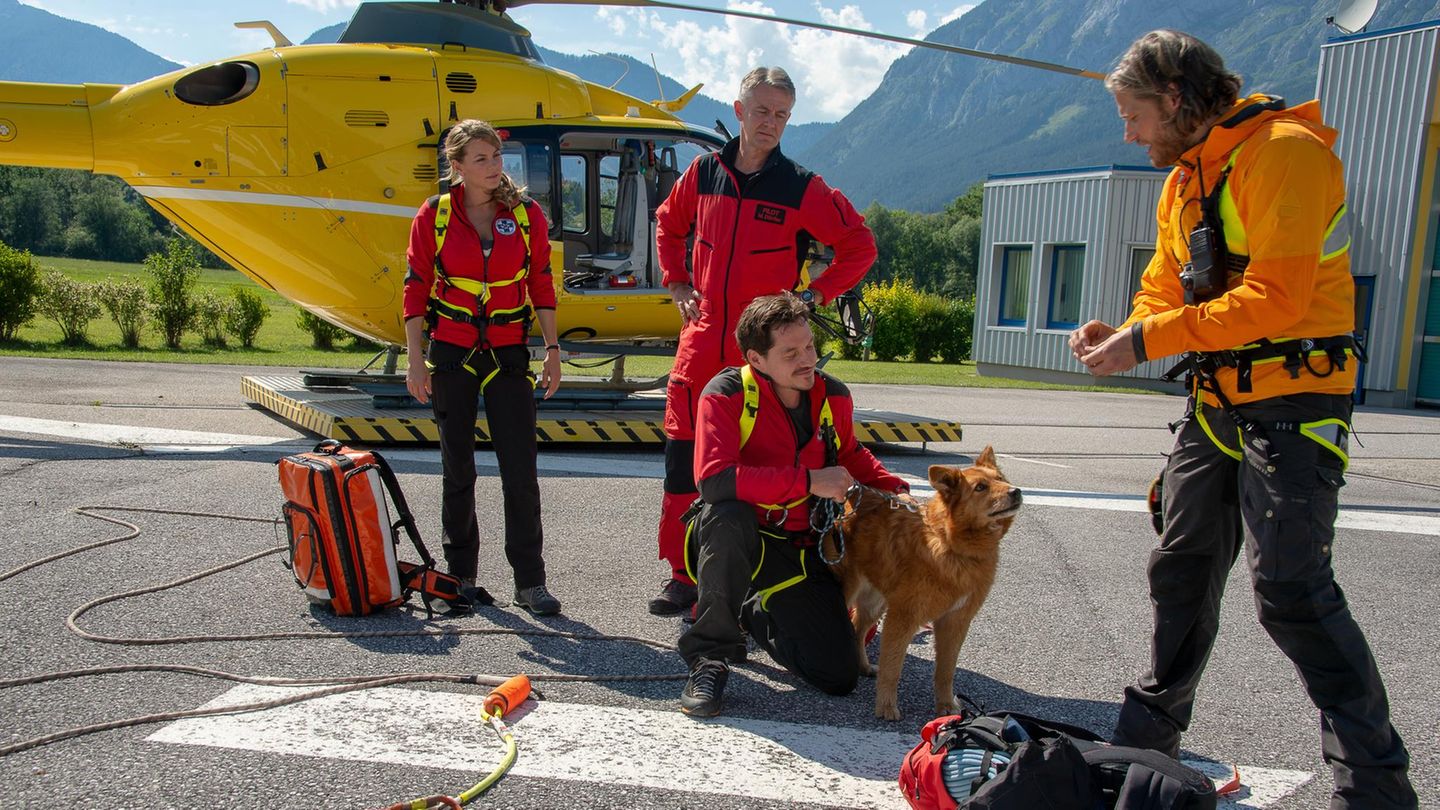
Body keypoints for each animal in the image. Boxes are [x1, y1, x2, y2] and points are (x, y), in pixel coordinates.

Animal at [829, 446, 1019, 717]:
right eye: (980, 487)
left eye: (1001, 479)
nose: (1016, 492)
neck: (951, 546)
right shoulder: (903, 617)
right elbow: (892, 667)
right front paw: (886, 706)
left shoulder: (955, 622)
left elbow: (946, 672)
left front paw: (947, 706)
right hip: (849, 591)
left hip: (876, 602)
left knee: (858, 628)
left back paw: (863, 666)